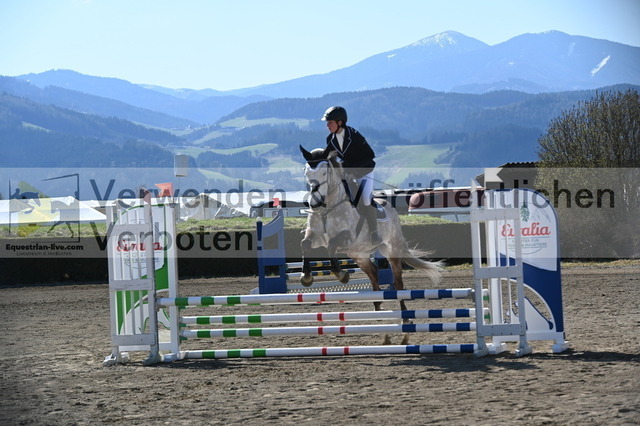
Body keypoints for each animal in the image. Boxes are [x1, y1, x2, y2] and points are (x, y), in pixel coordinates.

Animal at [299, 146, 443, 341]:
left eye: (323, 172)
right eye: (306, 172)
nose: (314, 203)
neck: (327, 208)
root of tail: (391, 208)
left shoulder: (347, 238)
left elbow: (331, 246)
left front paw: (342, 275)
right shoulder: (315, 237)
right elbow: (305, 245)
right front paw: (306, 277)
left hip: (390, 249)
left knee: (398, 283)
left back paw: (405, 320)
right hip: (360, 255)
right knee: (374, 275)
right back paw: (378, 311)